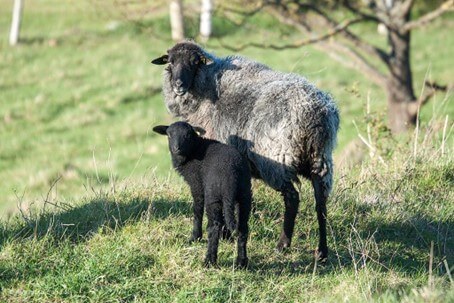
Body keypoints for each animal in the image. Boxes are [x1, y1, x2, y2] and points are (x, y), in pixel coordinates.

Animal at [153, 121, 252, 268]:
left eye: (188, 135)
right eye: (169, 135)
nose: (177, 148)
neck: (194, 150)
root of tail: (232, 176)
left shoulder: (197, 185)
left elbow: (197, 209)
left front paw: (195, 237)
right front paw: (226, 237)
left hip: (213, 195)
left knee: (214, 226)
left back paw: (209, 261)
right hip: (244, 195)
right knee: (243, 228)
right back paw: (241, 262)